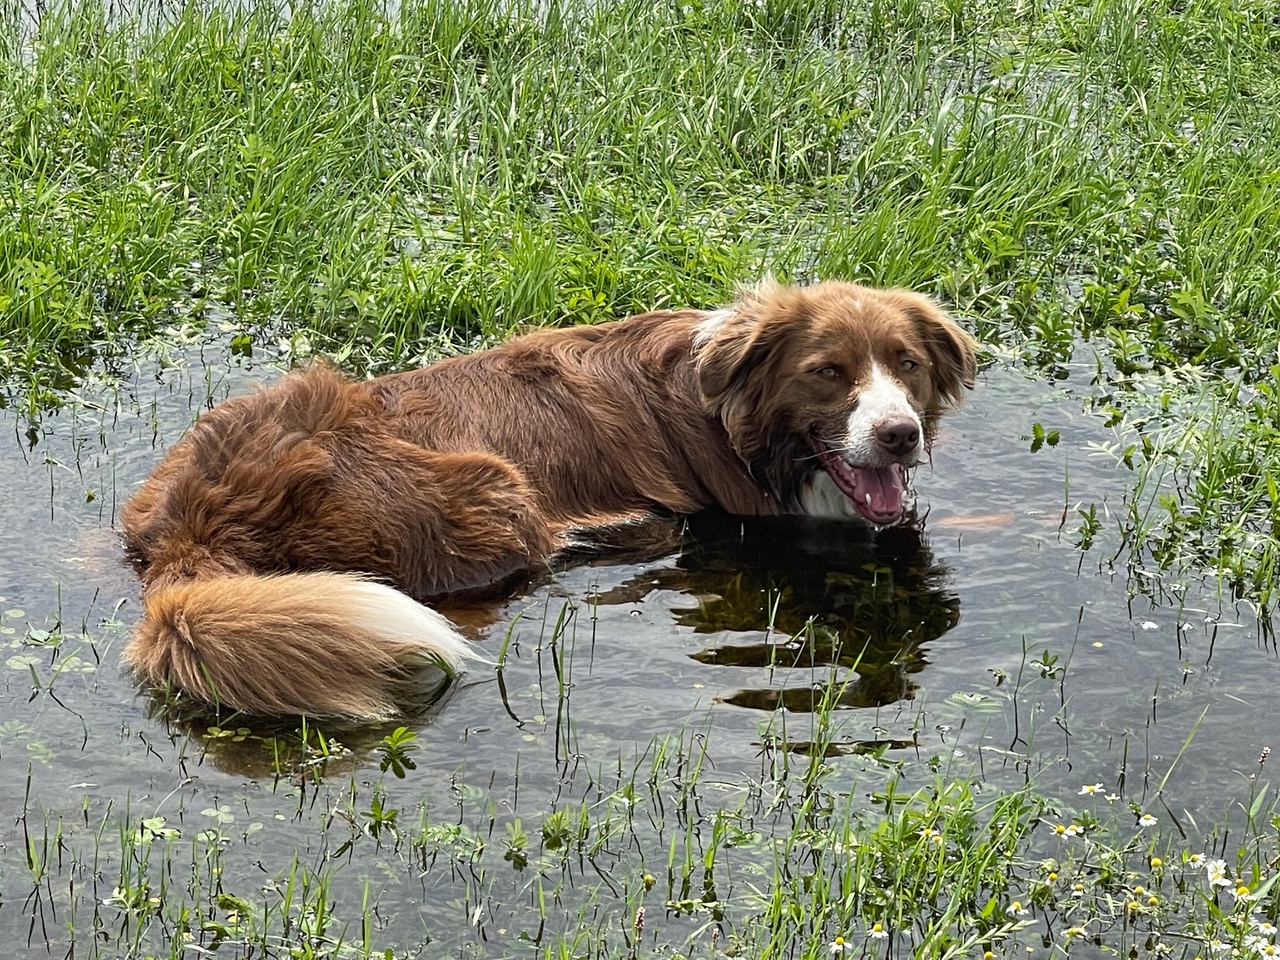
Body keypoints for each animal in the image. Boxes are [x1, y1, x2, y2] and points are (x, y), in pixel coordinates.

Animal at [122, 277, 977, 721]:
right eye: (826, 372)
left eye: (906, 364)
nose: (899, 435)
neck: (730, 416)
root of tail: (198, 517)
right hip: (494, 493)